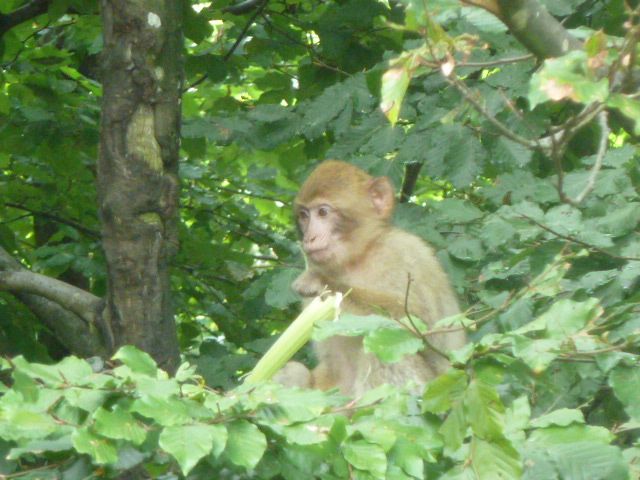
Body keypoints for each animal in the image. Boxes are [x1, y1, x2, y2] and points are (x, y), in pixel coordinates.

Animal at [276, 159, 464, 396]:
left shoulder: (407, 255)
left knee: (382, 347)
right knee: (294, 370)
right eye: (304, 215)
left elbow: (421, 328)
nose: (310, 238)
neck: (360, 256)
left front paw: (323, 283)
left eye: (323, 212)